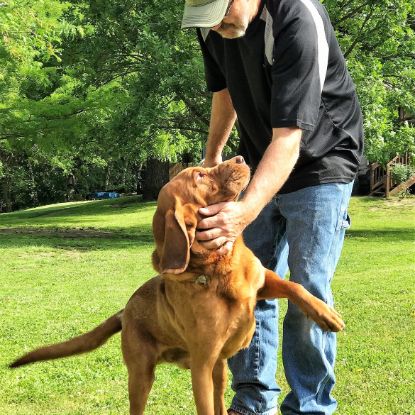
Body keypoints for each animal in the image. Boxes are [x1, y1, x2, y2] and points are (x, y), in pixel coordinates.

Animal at [9, 158, 344, 415]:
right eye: (200, 176)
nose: (239, 157)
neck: (215, 264)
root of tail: (124, 312)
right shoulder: (202, 365)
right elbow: (205, 409)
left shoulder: (261, 281)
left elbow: (296, 287)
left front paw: (326, 315)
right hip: (142, 376)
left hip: (219, 370)